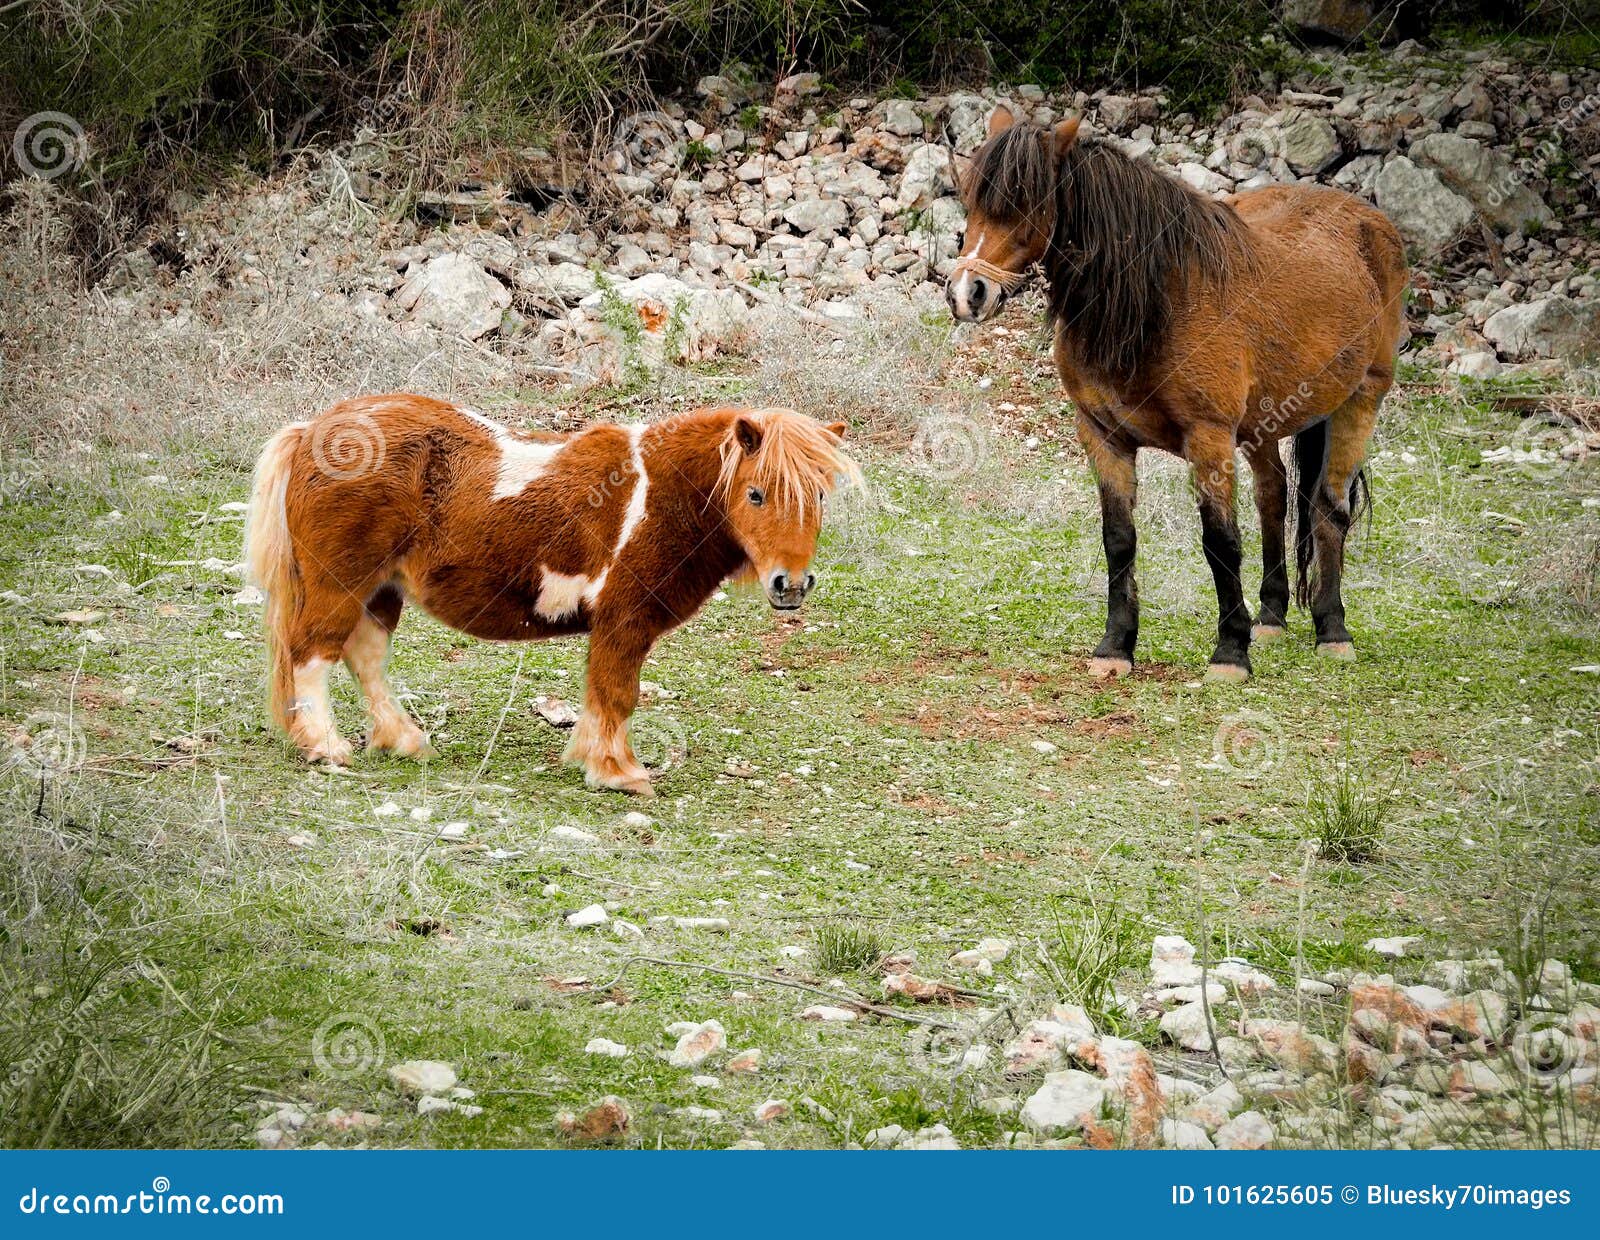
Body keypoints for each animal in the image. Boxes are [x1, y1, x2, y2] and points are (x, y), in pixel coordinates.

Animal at [244, 395, 857, 796]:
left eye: (820, 495)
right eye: (756, 494)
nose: (791, 586)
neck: (661, 495)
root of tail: (312, 430)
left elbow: (601, 696)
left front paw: (592, 760)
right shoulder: (624, 620)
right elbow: (616, 695)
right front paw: (619, 773)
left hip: (380, 591)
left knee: (364, 659)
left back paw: (403, 741)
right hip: (340, 584)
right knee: (312, 655)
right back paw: (326, 747)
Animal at [948, 106, 1407, 680]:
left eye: (1026, 203)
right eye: (970, 199)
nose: (966, 294)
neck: (1159, 299)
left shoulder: (1208, 439)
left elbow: (1220, 543)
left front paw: (1230, 653)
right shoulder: (1103, 436)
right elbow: (1119, 541)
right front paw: (1115, 646)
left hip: (1360, 400)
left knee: (1328, 508)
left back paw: (1332, 629)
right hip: (1263, 424)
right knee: (1273, 496)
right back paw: (1271, 617)